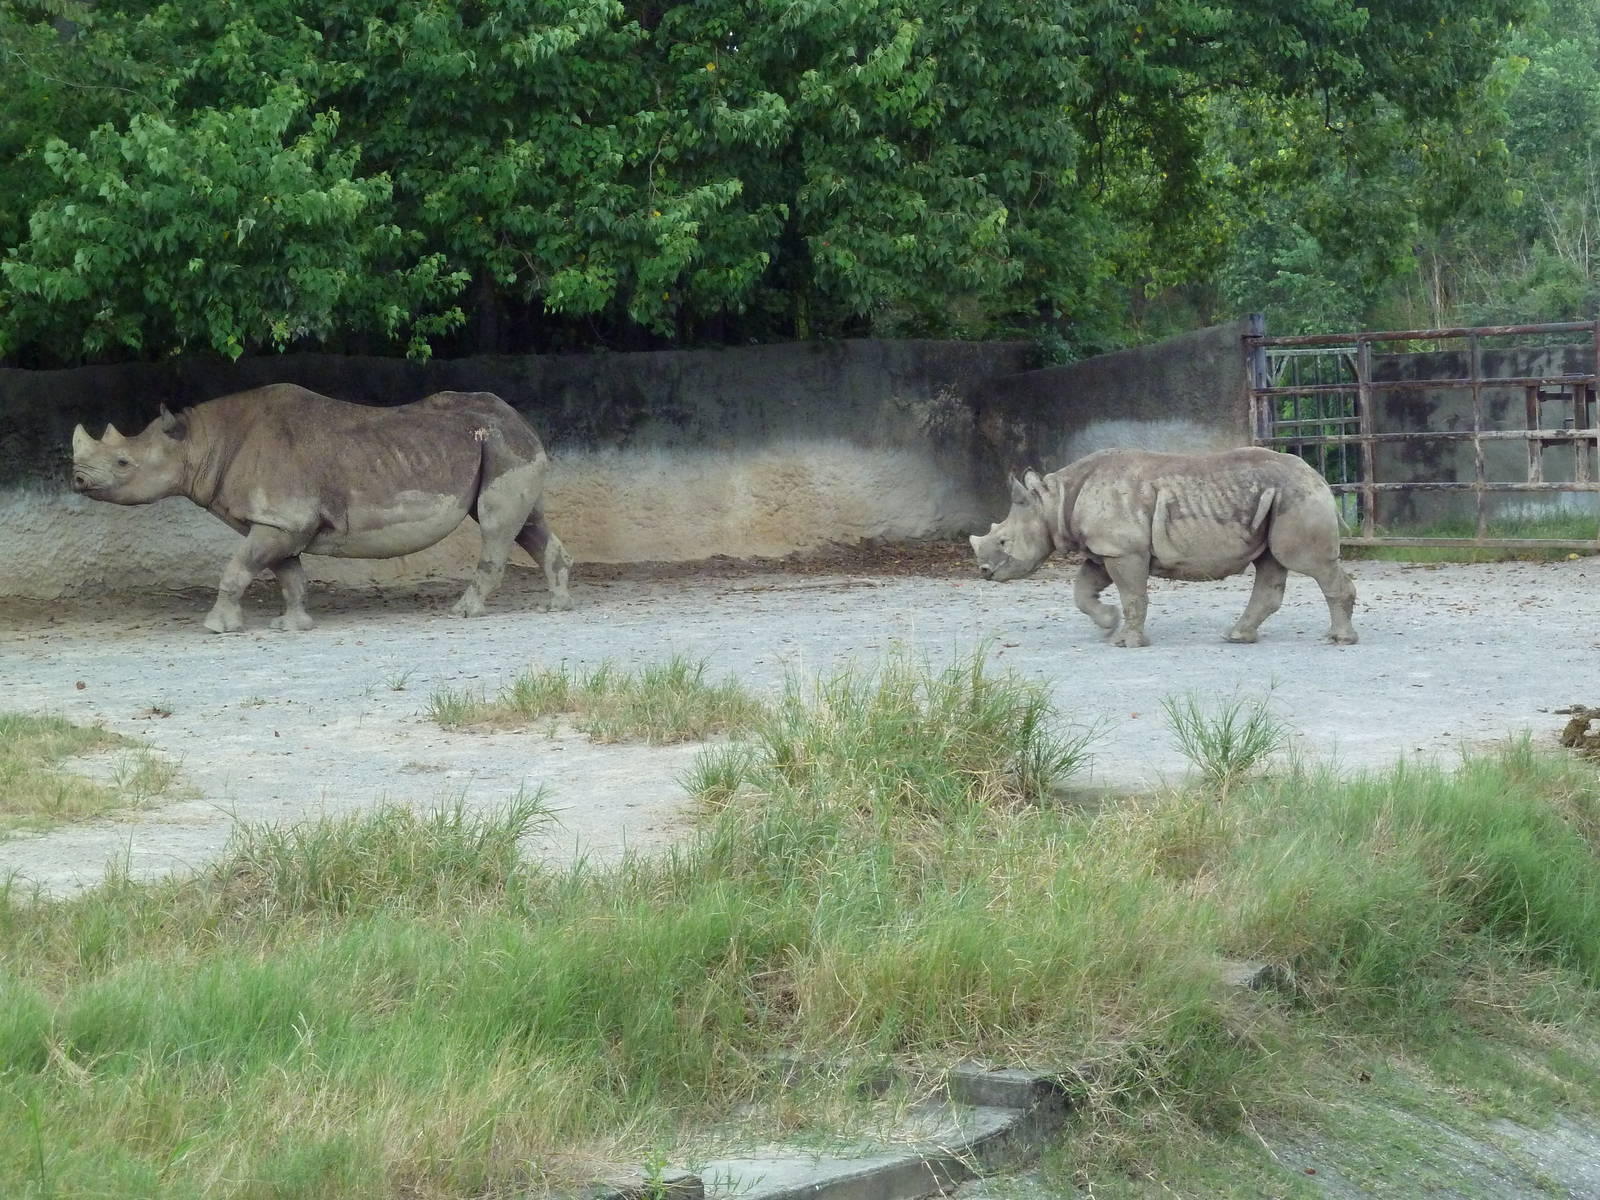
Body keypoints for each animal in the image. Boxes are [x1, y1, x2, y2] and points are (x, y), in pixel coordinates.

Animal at [70, 383, 573, 632]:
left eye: (123, 463)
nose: (77, 480)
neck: (200, 440)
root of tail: (522, 420)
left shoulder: (282, 518)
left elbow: (237, 568)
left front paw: (216, 628)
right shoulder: (280, 522)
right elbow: (288, 574)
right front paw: (292, 625)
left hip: (501, 444)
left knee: (495, 525)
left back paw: (462, 613)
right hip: (504, 447)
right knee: (526, 523)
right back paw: (556, 606)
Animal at [969, 447, 1357, 647]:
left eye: (1003, 541)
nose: (984, 571)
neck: (1054, 501)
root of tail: (1319, 478)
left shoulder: (1122, 549)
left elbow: (1133, 595)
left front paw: (1126, 642)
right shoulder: (1105, 549)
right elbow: (1083, 591)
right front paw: (1108, 623)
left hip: (1297, 497)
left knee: (1308, 563)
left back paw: (1340, 639)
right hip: (1279, 499)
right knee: (1270, 564)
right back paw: (1236, 636)